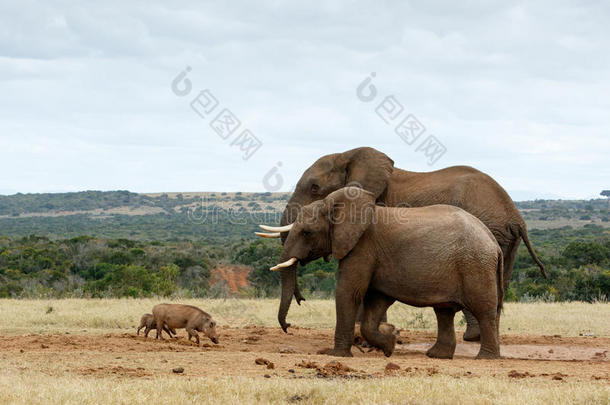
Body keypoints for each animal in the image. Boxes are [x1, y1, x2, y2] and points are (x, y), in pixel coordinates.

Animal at [254, 147, 544, 340]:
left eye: (315, 188)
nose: (290, 327)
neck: (351, 155)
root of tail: (516, 216)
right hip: (505, 243)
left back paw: (472, 338)